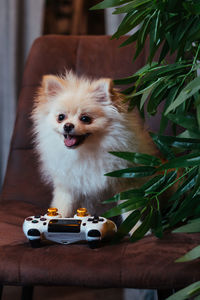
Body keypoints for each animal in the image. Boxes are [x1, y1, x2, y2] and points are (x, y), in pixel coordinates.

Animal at [31, 71, 157, 219]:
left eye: (85, 119)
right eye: (61, 117)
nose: (67, 126)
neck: (86, 151)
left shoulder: (126, 181)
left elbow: (129, 211)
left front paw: (136, 225)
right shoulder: (68, 186)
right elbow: (63, 207)